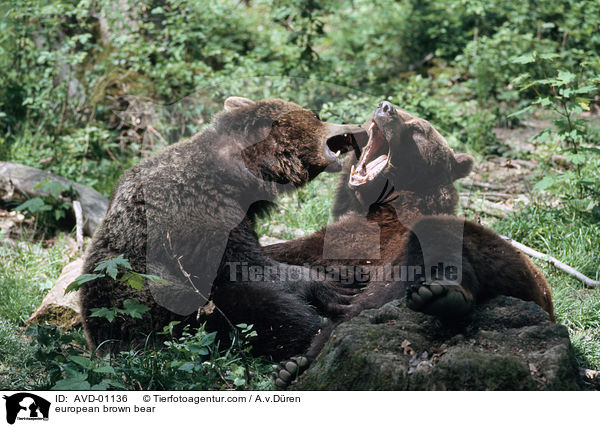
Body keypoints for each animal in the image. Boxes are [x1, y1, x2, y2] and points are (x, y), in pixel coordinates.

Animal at [79, 97, 366, 362]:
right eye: (316, 115)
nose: (358, 128)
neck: (242, 173)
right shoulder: (202, 212)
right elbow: (246, 267)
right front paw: (331, 287)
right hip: (152, 312)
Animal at [264, 102, 556, 390]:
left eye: (418, 130)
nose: (385, 107)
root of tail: (547, 301)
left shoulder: (369, 237)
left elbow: (308, 249)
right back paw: (293, 366)